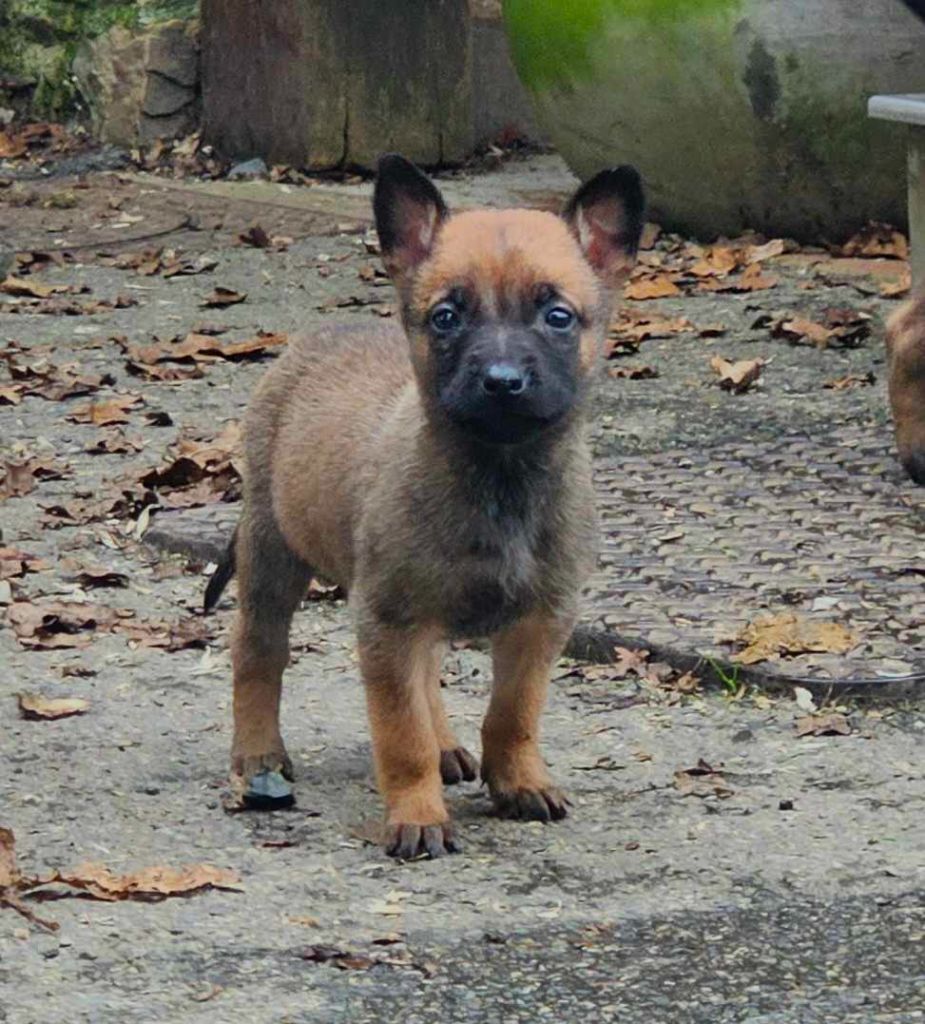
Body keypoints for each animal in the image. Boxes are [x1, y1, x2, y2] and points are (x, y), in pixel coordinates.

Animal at [206, 153, 643, 856]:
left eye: (557, 316)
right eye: (445, 318)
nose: (502, 382)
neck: (499, 476)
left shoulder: (538, 623)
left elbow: (512, 713)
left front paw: (517, 779)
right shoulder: (389, 622)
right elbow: (399, 731)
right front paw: (417, 812)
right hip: (273, 553)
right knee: (258, 651)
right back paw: (258, 755)